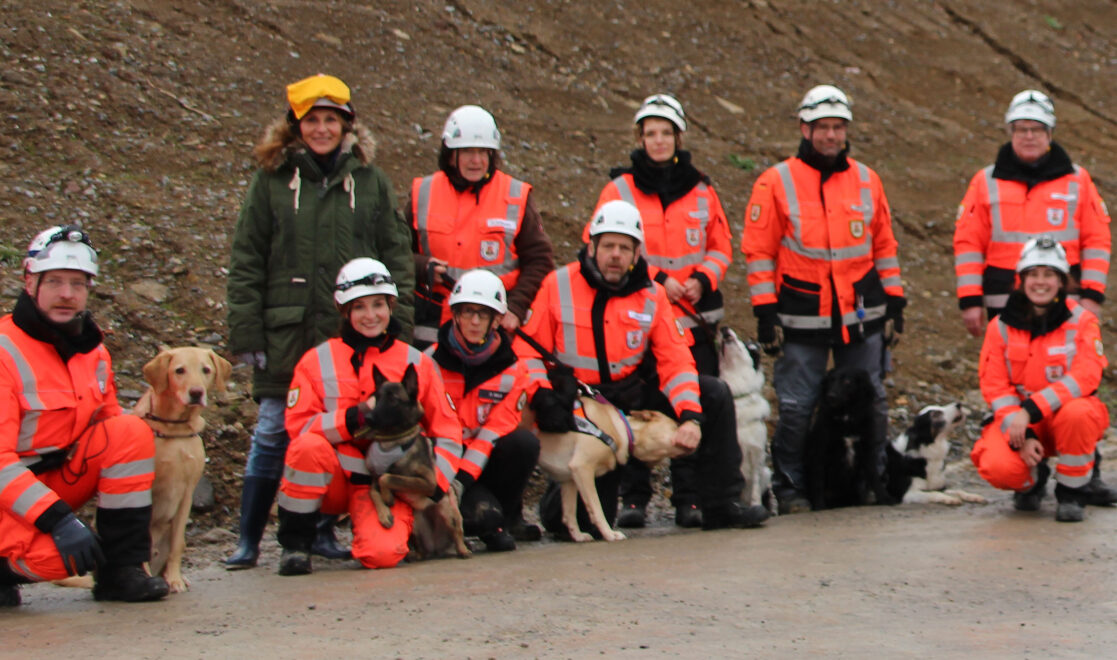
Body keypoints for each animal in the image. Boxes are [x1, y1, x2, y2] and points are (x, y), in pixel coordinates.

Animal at [132, 348, 231, 589]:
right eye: (179, 370)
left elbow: (177, 544)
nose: (196, 393)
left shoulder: (187, 493)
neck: (173, 429)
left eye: (206, 370)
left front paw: (175, 579)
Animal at [719, 328, 772, 513]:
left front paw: (756, 507)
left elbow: (754, 487)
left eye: (749, 346)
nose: (724, 329)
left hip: (767, 472)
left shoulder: (756, 452)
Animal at [804, 366, 898, 511]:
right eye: (831, 380)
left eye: (847, 382)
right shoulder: (820, 451)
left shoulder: (867, 450)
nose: (831, 396)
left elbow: (874, 476)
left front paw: (884, 498)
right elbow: (818, 481)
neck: (846, 417)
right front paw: (819, 506)